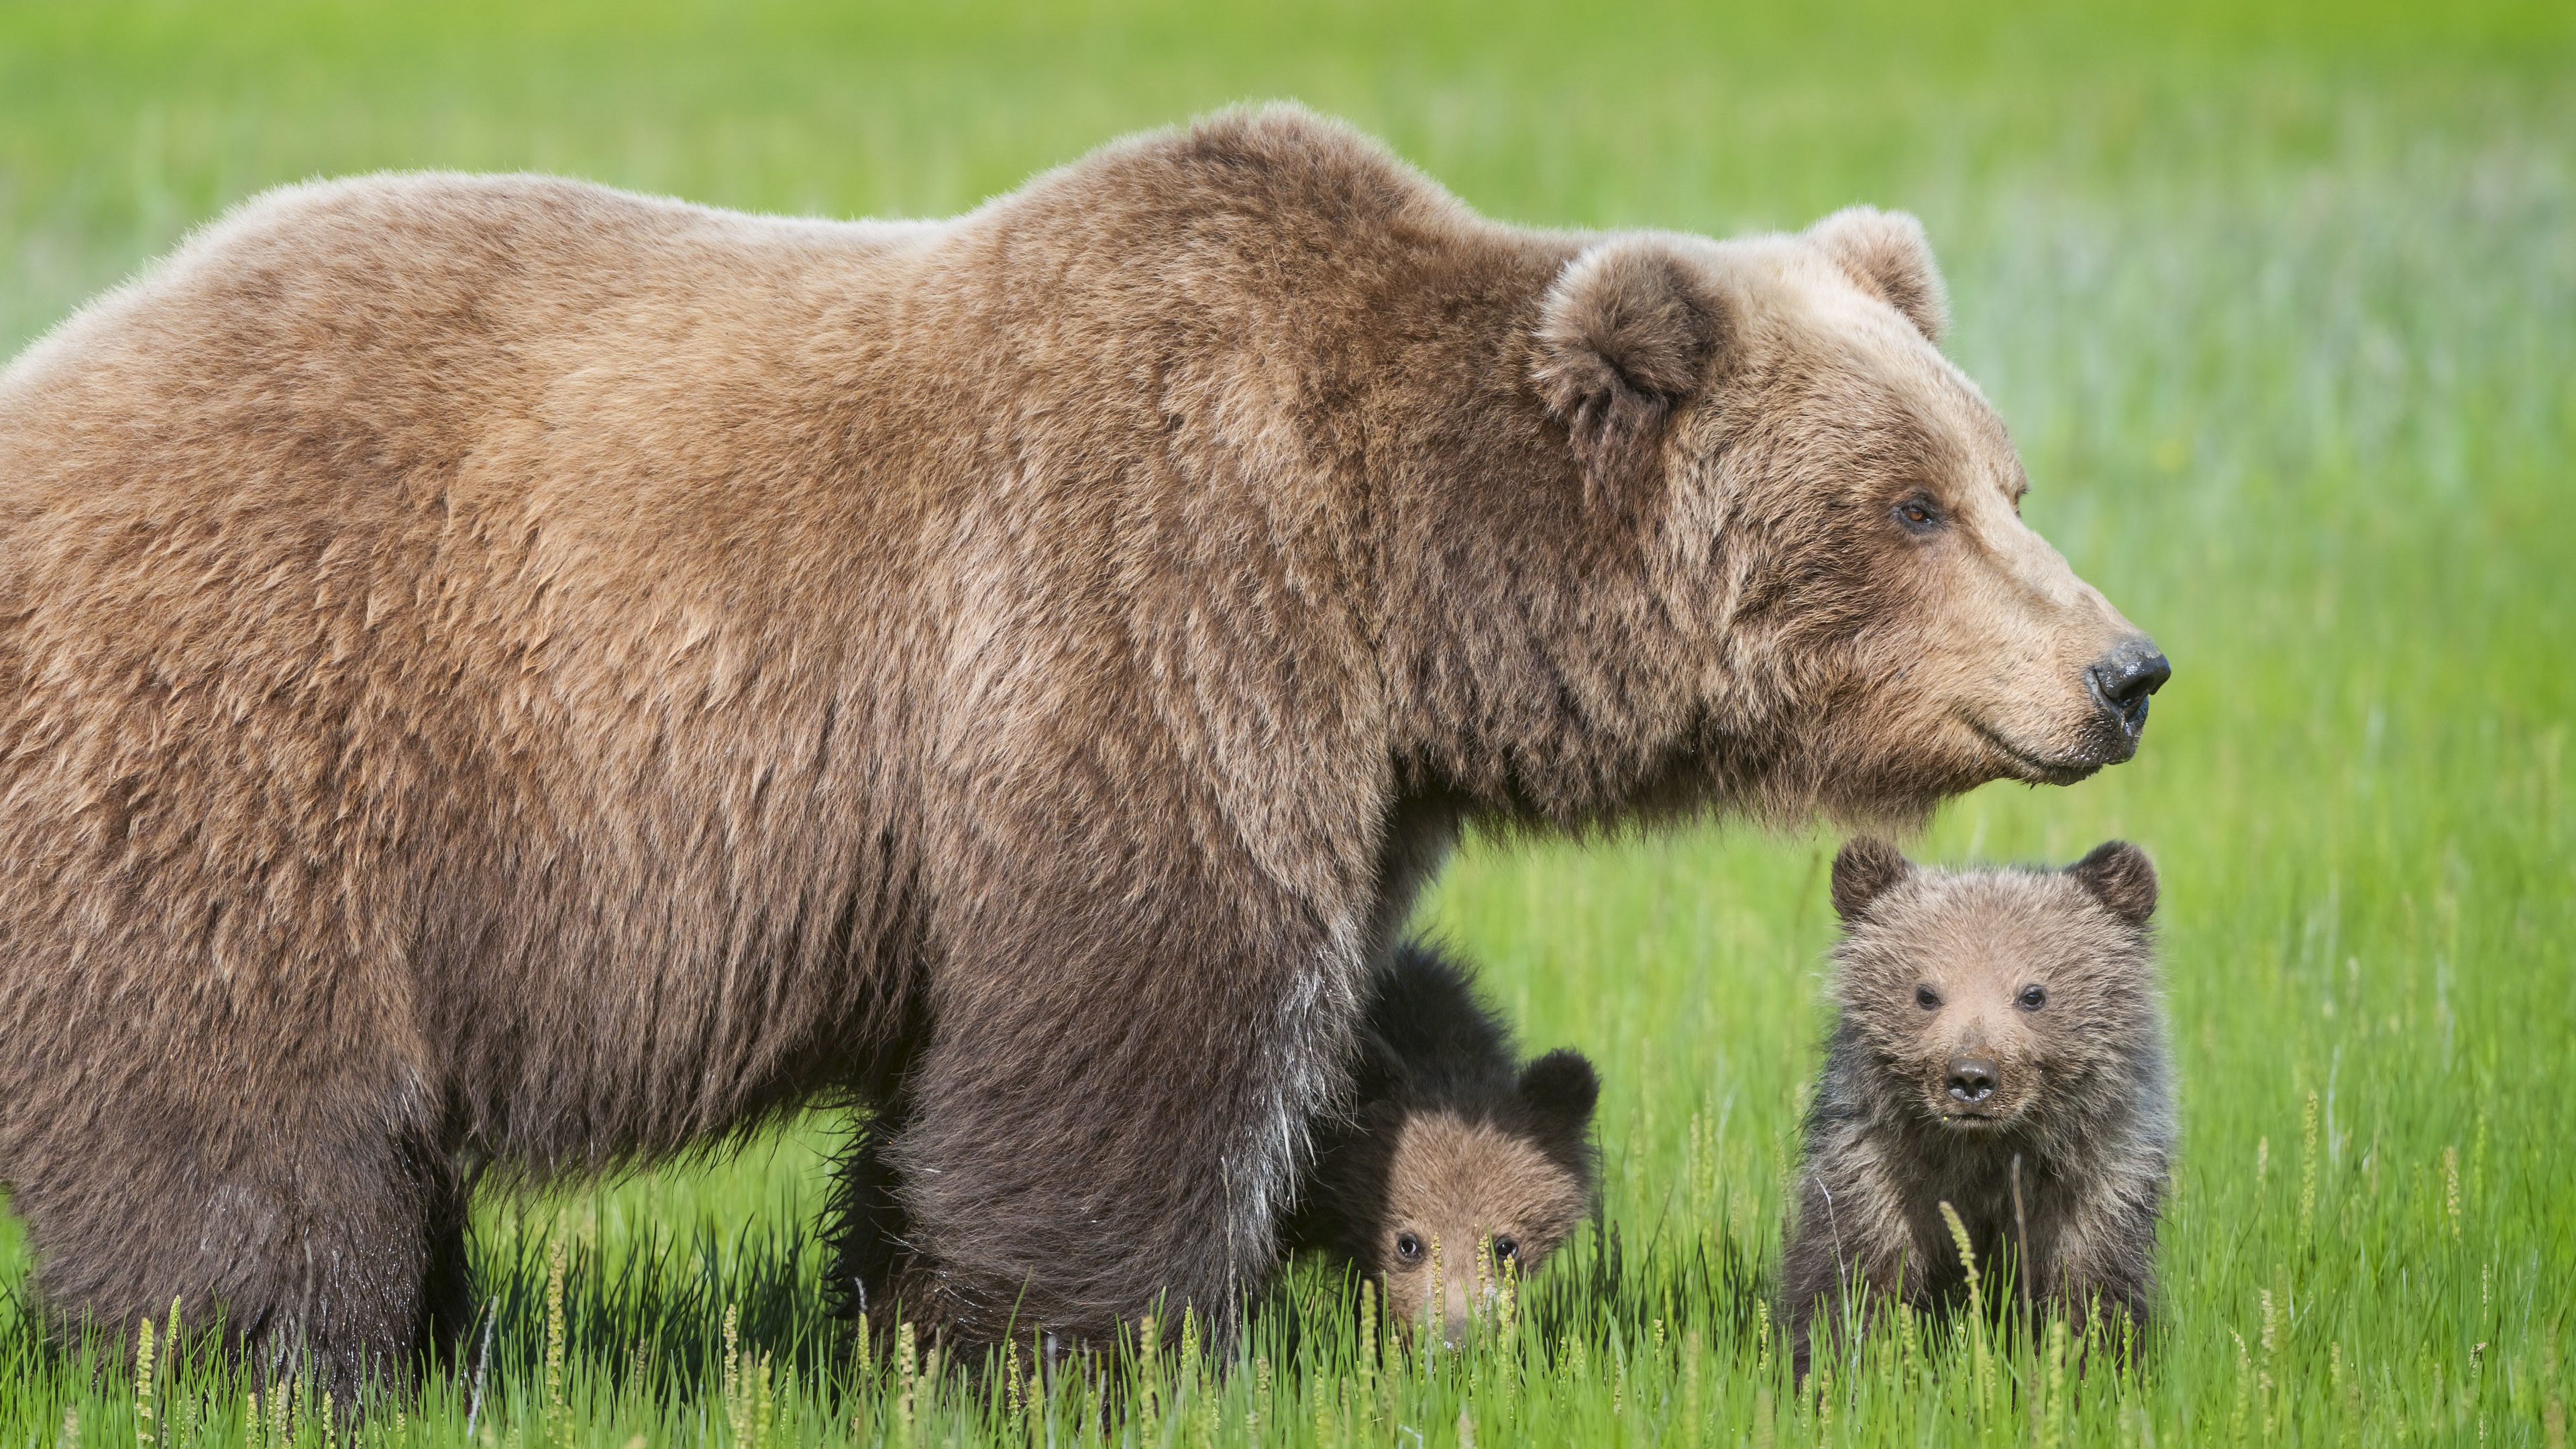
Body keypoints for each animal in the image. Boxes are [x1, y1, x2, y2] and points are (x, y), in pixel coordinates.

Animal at [0, 104, 2153, 1392]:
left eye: (2003, 473)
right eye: (1907, 506)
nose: (2123, 668)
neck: (1404, 582)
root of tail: (54, 377)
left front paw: (900, 1315)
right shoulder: (1148, 617)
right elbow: (1138, 1020)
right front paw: (1094, 1345)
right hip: (263, 748)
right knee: (244, 1110)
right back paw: (274, 1355)